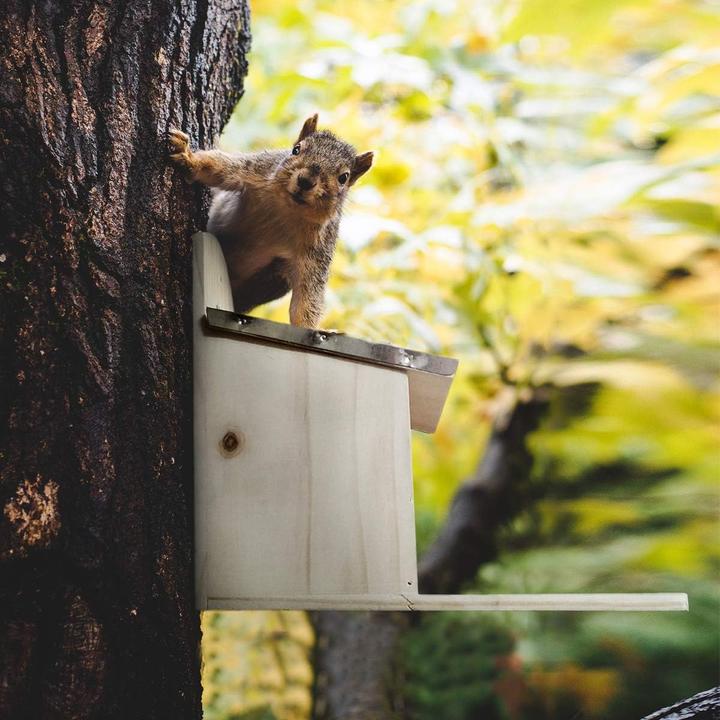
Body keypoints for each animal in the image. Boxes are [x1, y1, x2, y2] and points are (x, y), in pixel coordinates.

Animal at [169, 114, 373, 328]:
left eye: (344, 178)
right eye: (296, 149)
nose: (306, 181)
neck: (287, 211)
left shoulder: (317, 255)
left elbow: (307, 301)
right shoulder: (255, 170)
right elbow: (219, 167)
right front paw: (187, 156)